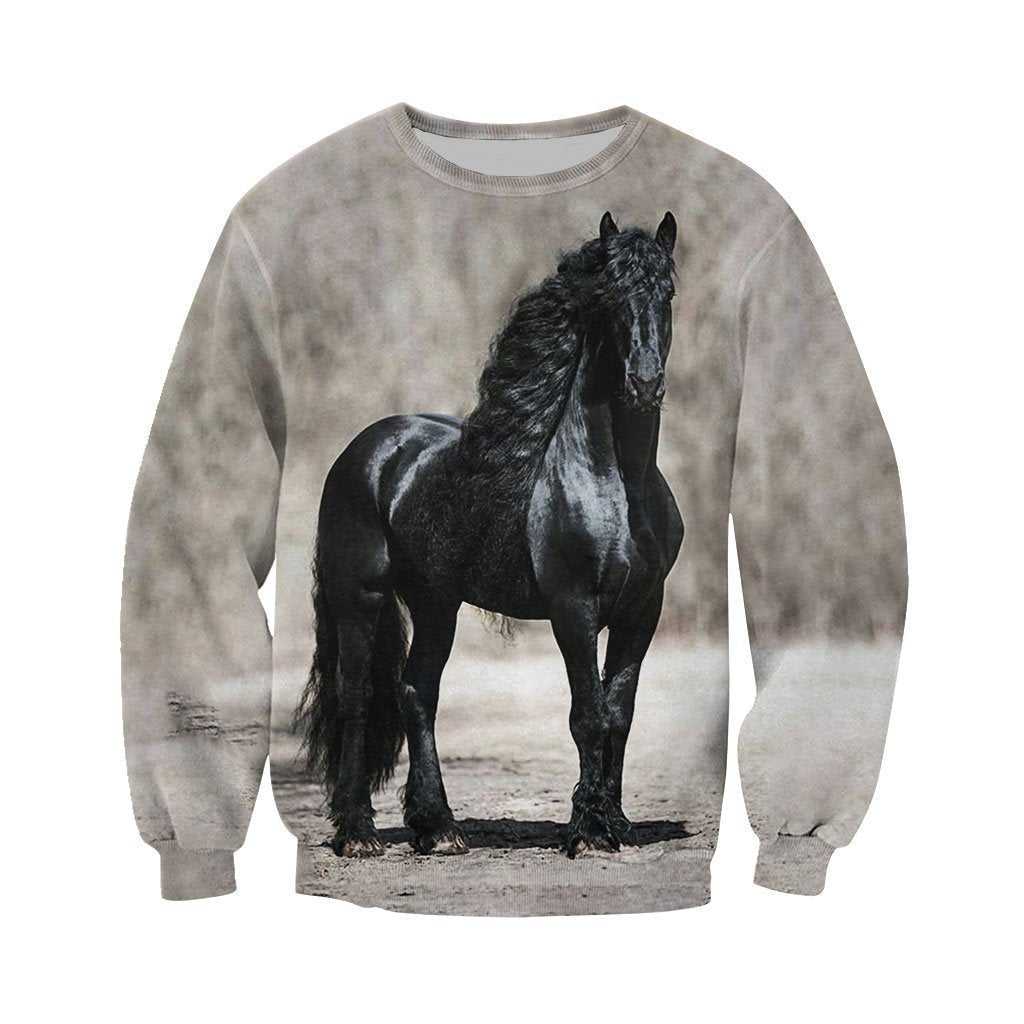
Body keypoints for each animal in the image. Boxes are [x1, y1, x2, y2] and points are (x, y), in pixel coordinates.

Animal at [296, 211, 683, 859]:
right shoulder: (572, 609)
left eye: (668, 294)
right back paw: (358, 833)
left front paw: (616, 823)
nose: (645, 383)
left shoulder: (641, 611)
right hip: (361, 598)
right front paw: (586, 832)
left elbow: (619, 714)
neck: (615, 484)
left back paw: (440, 828)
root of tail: (369, 449)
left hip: (436, 602)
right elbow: (588, 715)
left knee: (415, 693)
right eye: (609, 299)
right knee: (357, 696)